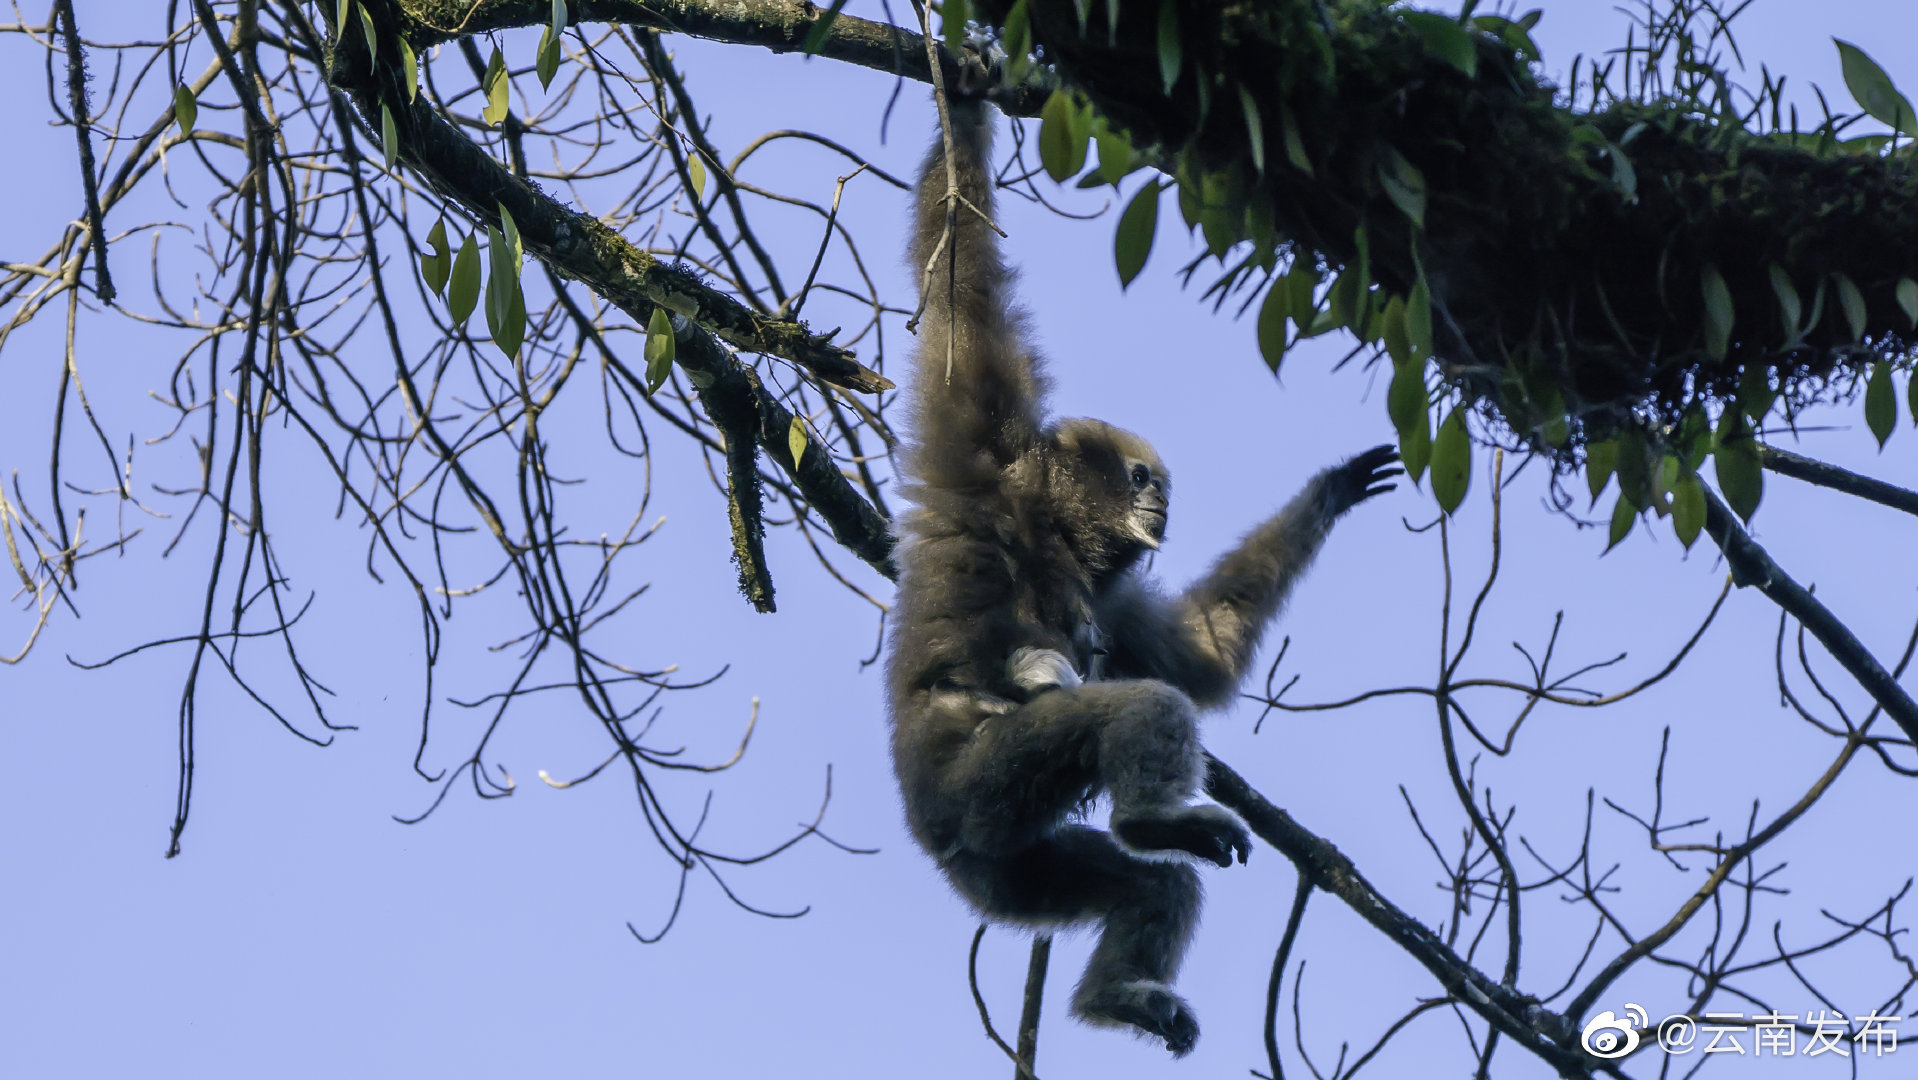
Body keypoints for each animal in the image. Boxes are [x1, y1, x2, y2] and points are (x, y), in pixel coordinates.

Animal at [884, 94, 1400, 1057]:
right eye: (1140, 480)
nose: (1163, 504)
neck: (1052, 536)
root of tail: (936, 836)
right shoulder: (986, 458)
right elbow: (962, 289)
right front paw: (963, 105)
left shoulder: (1114, 596)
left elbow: (1198, 657)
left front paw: (1334, 491)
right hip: (979, 783)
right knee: (1121, 712)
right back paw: (1151, 819)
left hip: (1009, 870)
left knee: (1148, 882)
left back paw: (1118, 992)